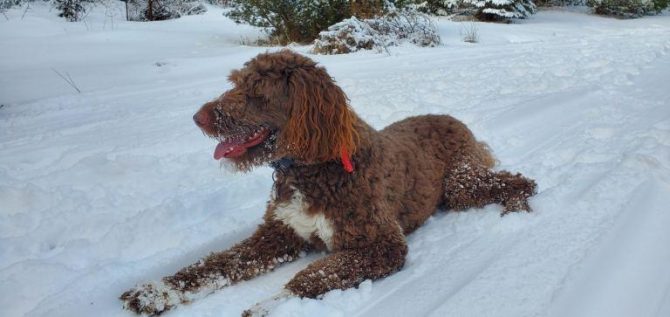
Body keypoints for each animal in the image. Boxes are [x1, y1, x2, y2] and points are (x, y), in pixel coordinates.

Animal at [121, 50, 540, 316]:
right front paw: (154, 291)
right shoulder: (278, 234)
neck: (309, 168)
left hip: (460, 184)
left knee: (522, 181)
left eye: (256, 92)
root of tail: (451, 118)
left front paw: (267, 306)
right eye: (235, 82)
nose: (198, 117)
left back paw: (517, 206)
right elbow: (216, 264)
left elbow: (311, 277)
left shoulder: (382, 245)